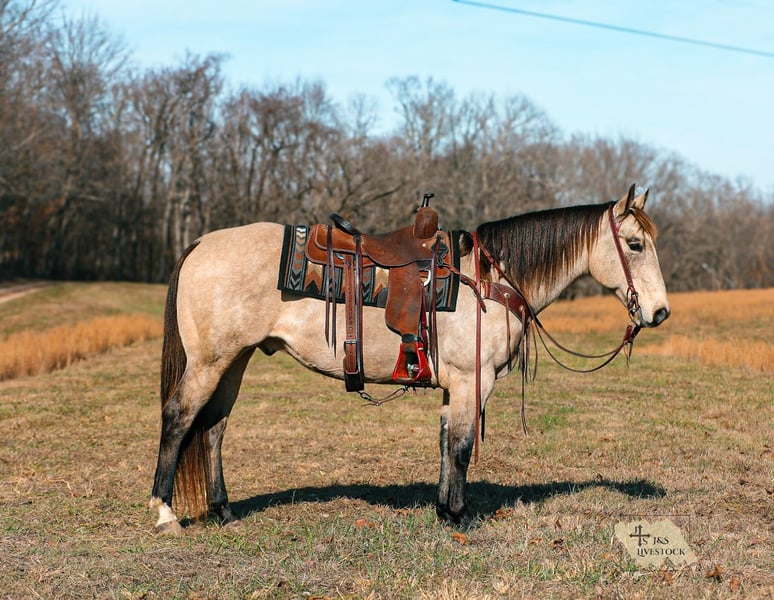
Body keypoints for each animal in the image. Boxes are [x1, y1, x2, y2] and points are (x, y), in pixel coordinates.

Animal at [150, 184, 670, 534]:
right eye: (635, 245)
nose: (660, 312)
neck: (487, 282)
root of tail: (201, 243)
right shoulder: (472, 381)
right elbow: (461, 447)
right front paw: (459, 518)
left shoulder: (454, 386)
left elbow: (444, 445)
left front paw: (444, 509)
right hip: (209, 362)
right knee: (178, 418)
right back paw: (164, 513)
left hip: (235, 360)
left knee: (213, 428)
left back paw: (223, 510)